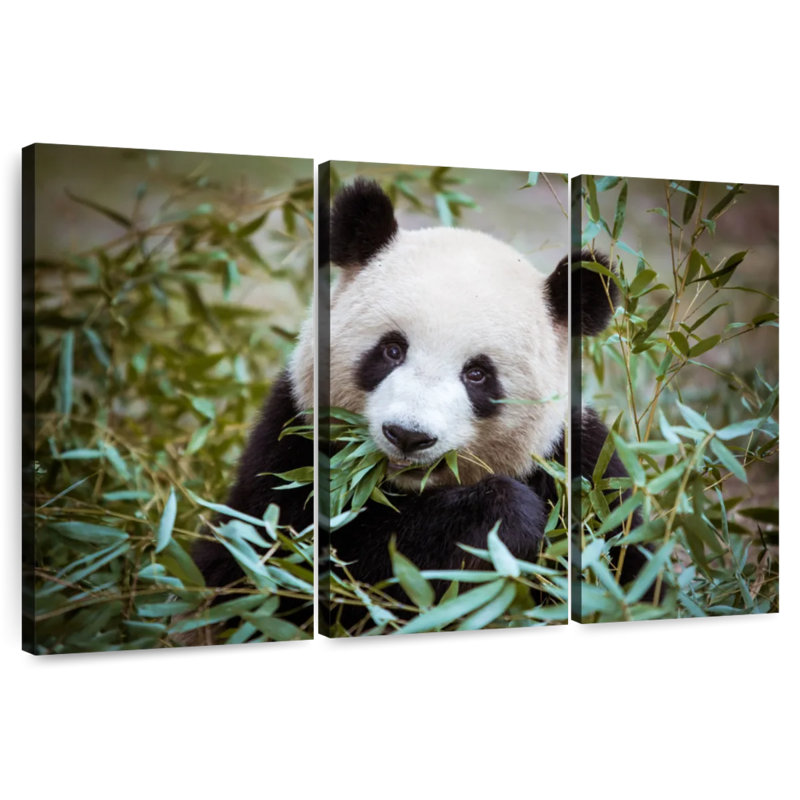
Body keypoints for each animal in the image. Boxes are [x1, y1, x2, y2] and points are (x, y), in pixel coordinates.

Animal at [194, 177, 646, 628]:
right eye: (392, 350)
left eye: (477, 374)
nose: (408, 435)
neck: (405, 489)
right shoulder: (291, 445)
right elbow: (286, 568)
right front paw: (503, 518)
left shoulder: (585, 471)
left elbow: (627, 568)